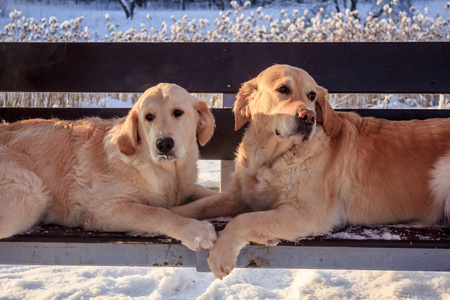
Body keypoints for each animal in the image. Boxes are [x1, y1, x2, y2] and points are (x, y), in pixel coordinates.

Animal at [0, 82, 218, 251]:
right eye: (149, 117)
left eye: (178, 112)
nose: (163, 144)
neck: (165, 172)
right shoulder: (101, 210)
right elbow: (157, 212)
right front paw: (194, 230)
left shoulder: (186, 187)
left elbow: (207, 195)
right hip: (30, 194)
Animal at [172, 64, 450, 278]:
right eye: (283, 90)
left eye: (312, 95)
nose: (309, 117)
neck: (273, 157)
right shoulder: (241, 195)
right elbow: (200, 205)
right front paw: (176, 219)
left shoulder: (310, 213)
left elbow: (244, 219)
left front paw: (222, 253)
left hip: (442, 172)